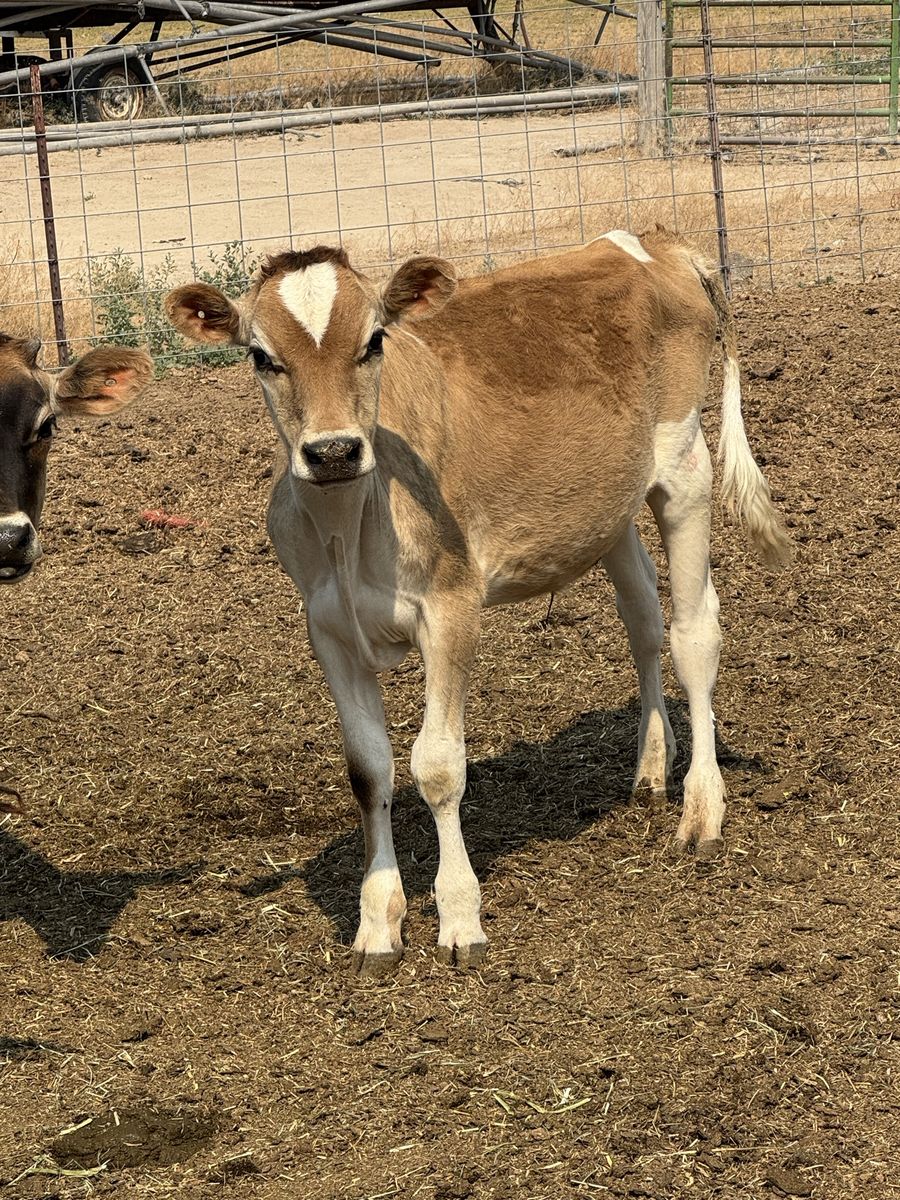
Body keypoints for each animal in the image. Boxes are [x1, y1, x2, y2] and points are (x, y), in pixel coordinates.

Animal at [166, 227, 791, 975]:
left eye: (374, 340)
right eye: (262, 356)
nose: (334, 451)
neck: (353, 525)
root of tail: (647, 241)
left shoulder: (451, 607)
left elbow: (438, 766)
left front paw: (460, 916)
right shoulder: (328, 629)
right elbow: (369, 772)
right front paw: (378, 922)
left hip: (684, 468)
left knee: (695, 633)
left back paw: (701, 812)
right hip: (607, 506)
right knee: (642, 618)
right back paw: (649, 770)